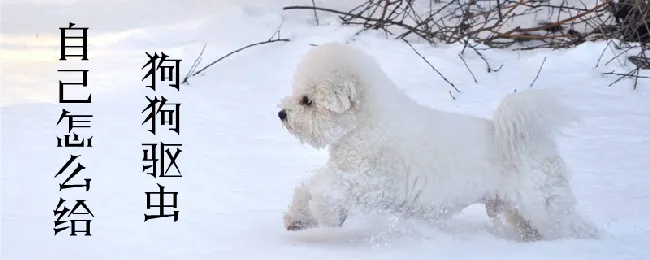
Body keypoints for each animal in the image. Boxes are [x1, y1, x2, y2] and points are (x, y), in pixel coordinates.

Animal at [278, 42, 596, 242]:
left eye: (307, 100)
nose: (282, 114)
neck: (367, 124)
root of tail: (533, 142)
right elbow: (312, 187)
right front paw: (298, 217)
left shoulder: (369, 180)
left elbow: (327, 190)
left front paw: (324, 213)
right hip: (520, 211)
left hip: (544, 206)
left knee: (575, 227)